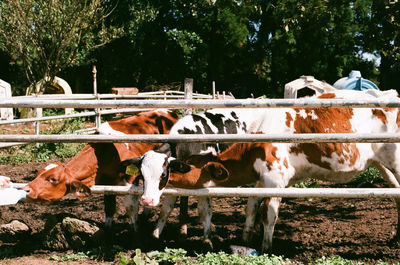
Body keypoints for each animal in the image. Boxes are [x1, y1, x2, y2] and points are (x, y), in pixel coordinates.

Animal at [22, 108, 177, 230]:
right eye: (38, 173)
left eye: (53, 179)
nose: (26, 189)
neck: (105, 151)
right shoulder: (107, 183)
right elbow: (109, 208)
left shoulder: (130, 180)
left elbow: (131, 208)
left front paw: (135, 232)